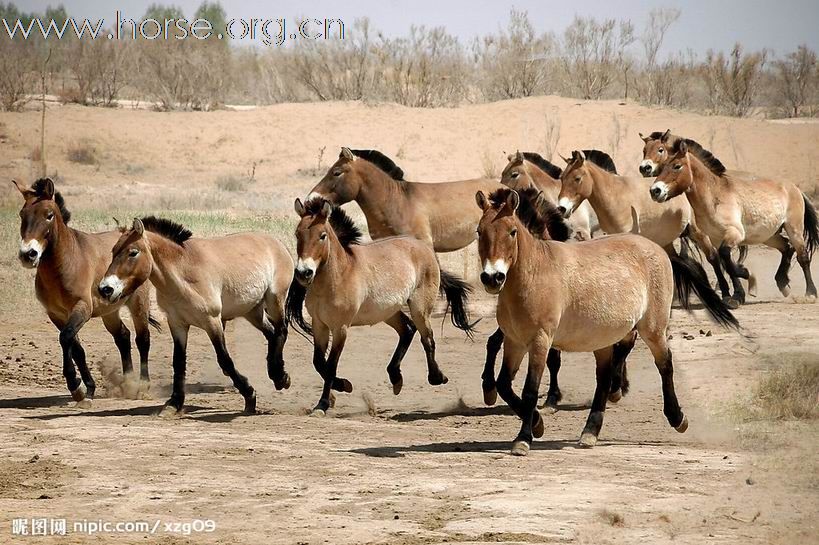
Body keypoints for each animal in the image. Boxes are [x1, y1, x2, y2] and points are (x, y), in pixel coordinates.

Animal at [13, 176, 159, 402]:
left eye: (49, 215)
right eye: (22, 214)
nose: (28, 254)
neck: (66, 263)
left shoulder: (82, 308)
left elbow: (66, 338)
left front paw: (75, 385)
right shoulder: (57, 315)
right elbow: (76, 348)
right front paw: (87, 388)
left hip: (138, 304)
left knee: (142, 339)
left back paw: (142, 386)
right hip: (110, 311)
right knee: (123, 337)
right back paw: (127, 383)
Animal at [288, 198, 478, 414]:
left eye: (322, 236)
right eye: (297, 234)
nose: (304, 272)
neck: (339, 275)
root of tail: (424, 248)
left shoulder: (340, 329)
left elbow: (330, 365)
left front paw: (323, 404)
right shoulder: (319, 325)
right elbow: (319, 363)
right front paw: (342, 385)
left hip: (419, 309)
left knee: (427, 338)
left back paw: (437, 377)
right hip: (388, 312)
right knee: (407, 330)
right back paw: (396, 378)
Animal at [474, 187, 736, 454]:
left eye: (512, 231)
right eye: (479, 231)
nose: (493, 278)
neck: (535, 273)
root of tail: (656, 247)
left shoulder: (540, 341)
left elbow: (529, 390)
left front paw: (523, 439)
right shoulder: (514, 341)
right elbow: (504, 384)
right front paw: (537, 424)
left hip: (653, 329)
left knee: (665, 364)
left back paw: (677, 418)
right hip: (603, 340)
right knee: (604, 378)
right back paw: (590, 431)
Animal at [652, 138, 816, 304]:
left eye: (677, 166)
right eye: (662, 167)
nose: (655, 191)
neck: (715, 198)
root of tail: (795, 188)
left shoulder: (734, 233)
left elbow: (725, 257)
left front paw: (742, 278)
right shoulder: (715, 238)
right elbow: (722, 262)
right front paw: (735, 294)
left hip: (794, 229)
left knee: (803, 256)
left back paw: (810, 294)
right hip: (768, 236)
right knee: (786, 247)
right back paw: (782, 283)